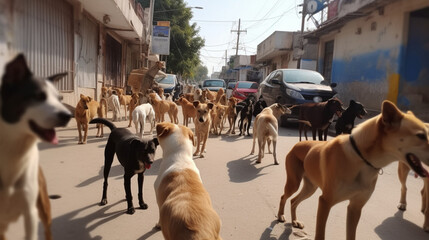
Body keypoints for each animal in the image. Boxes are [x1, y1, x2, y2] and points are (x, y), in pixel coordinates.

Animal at [276, 101, 428, 240]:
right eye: (421, 135)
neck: (361, 158)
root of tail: (298, 143)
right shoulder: (325, 202)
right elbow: (320, 234)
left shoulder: (355, 207)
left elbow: (351, 234)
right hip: (294, 183)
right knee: (284, 197)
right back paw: (281, 215)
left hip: (310, 187)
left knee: (293, 201)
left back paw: (294, 221)